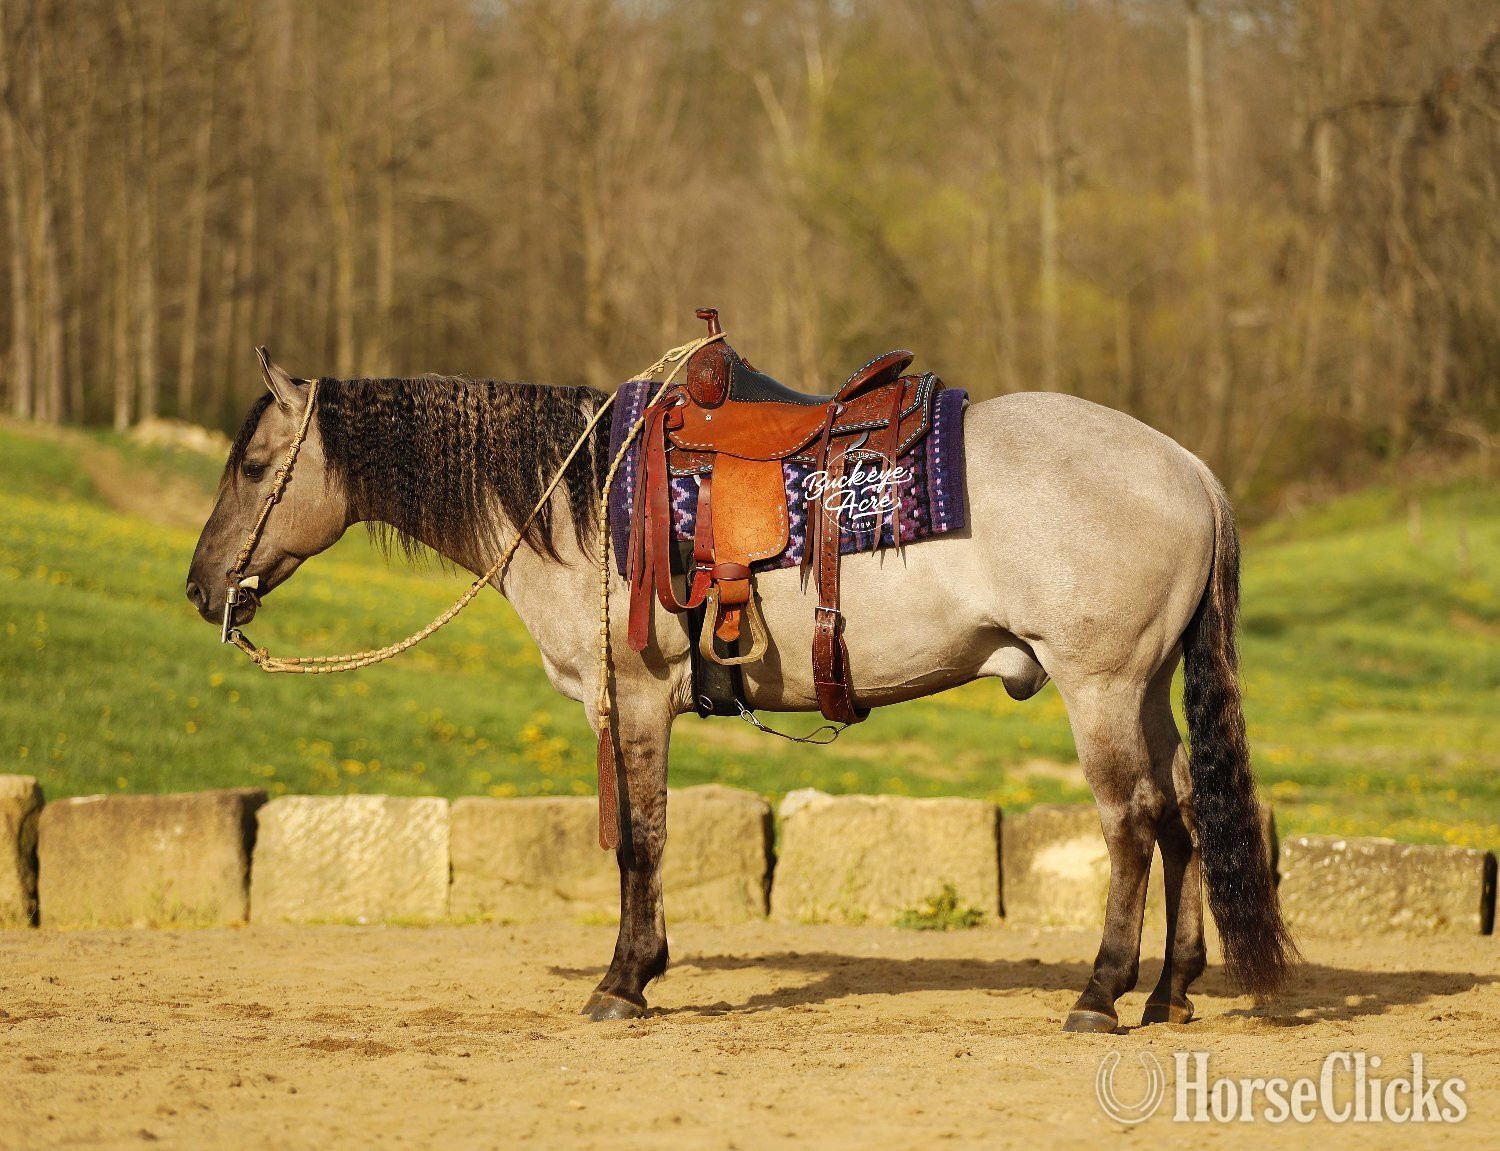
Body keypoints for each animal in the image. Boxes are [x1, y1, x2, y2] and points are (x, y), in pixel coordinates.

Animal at [185, 350, 1296, 1032]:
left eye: (254, 463)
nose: (203, 587)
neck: (581, 498)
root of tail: (1190, 469)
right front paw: (644, 966)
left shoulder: (632, 697)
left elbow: (640, 837)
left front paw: (623, 979)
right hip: (1145, 687)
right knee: (1185, 812)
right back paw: (1170, 993)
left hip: (1099, 687)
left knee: (1134, 822)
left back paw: (1101, 992)